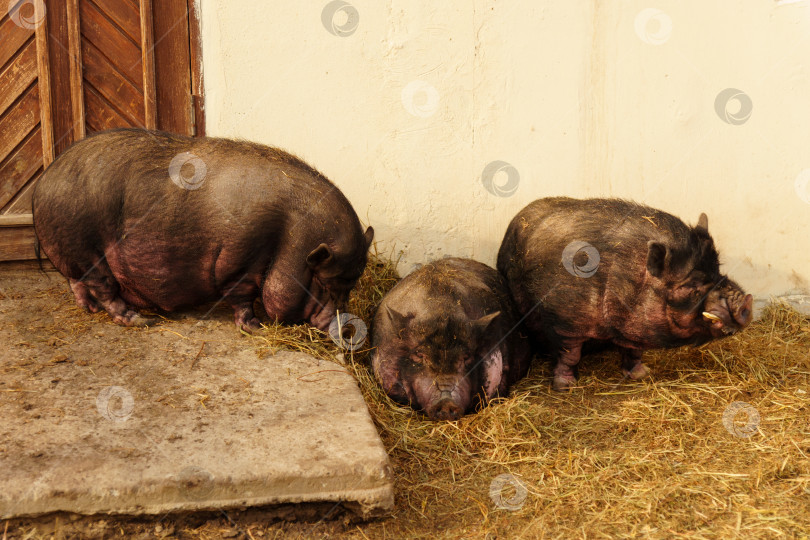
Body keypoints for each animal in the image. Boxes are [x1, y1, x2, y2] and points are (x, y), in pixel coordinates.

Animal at [31, 129, 372, 332]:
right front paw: (255, 327)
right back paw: (138, 320)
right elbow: (243, 298)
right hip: (87, 252)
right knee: (104, 289)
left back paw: (88, 309)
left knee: (77, 283)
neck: (291, 238)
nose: (349, 328)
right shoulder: (239, 262)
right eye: (326, 283)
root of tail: (44, 181)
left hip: (72, 255)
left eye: (353, 284)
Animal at [496, 196, 756, 390]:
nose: (746, 300)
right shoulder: (565, 319)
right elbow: (569, 354)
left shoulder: (635, 328)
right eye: (691, 286)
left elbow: (634, 351)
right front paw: (565, 387)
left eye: (718, 270)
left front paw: (643, 374)